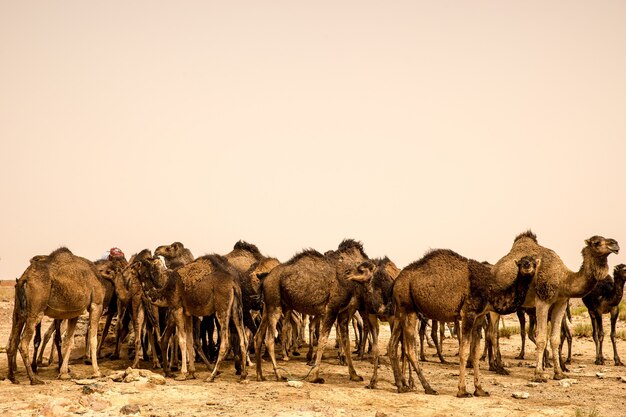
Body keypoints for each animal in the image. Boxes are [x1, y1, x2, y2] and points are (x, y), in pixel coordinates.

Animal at [6, 247, 104, 384]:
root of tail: (24, 278)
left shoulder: (75, 312)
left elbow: (68, 340)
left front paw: (63, 373)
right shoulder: (96, 304)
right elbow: (93, 339)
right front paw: (96, 372)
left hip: (18, 311)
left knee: (12, 341)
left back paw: (12, 377)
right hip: (36, 310)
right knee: (23, 343)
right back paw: (34, 379)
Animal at [136, 252, 246, 382]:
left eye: (142, 264)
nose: (133, 265)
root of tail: (234, 284)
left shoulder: (177, 308)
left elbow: (182, 340)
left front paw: (182, 374)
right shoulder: (188, 313)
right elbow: (189, 340)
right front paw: (191, 373)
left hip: (222, 309)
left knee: (225, 343)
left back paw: (211, 375)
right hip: (236, 309)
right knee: (243, 339)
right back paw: (243, 375)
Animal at [252, 239, 372, 382]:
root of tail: (265, 279)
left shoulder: (343, 313)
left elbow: (346, 342)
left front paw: (354, 375)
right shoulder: (331, 309)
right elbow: (323, 340)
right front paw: (315, 376)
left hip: (267, 307)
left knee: (258, 336)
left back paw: (260, 375)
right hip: (275, 305)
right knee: (269, 339)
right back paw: (279, 375)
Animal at [386, 249, 536, 394]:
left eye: (534, 262)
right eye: (521, 262)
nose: (527, 265)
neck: (490, 291)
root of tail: (396, 281)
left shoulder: (479, 316)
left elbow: (475, 353)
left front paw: (479, 389)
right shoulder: (468, 312)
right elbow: (463, 351)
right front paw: (462, 390)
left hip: (400, 312)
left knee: (392, 345)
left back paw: (401, 385)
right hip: (408, 307)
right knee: (410, 349)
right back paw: (428, 388)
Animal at [492, 231, 620, 380]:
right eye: (596, 242)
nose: (615, 244)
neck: (563, 279)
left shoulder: (561, 303)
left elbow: (555, 338)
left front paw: (559, 373)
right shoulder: (542, 300)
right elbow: (541, 338)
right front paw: (539, 374)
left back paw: (497, 367)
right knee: (493, 334)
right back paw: (499, 368)